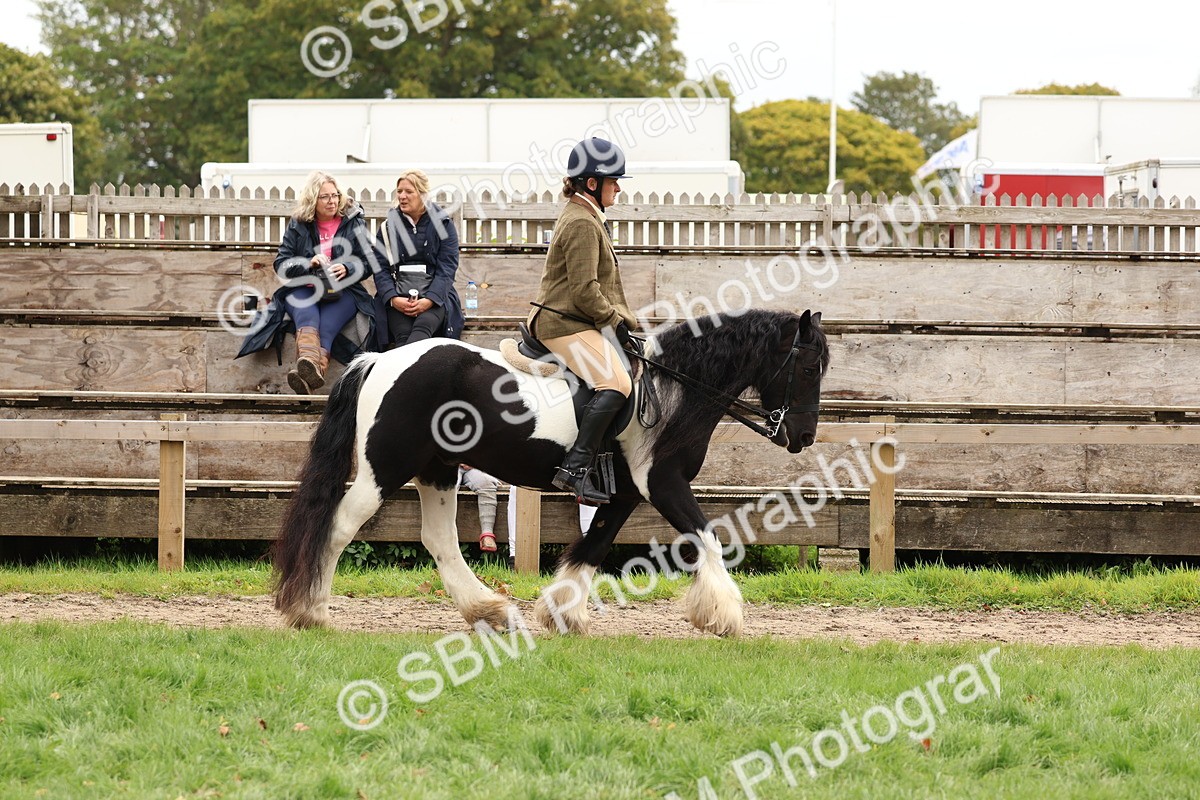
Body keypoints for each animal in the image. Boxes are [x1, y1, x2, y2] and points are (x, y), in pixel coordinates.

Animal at [273, 307, 829, 637]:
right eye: (807, 368)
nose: (802, 437)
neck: (675, 387)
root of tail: (378, 360)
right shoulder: (663, 483)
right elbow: (707, 536)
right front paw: (724, 614)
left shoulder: (624, 495)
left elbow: (592, 547)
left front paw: (562, 612)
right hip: (385, 469)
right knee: (339, 527)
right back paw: (311, 611)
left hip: (437, 468)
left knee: (440, 540)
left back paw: (488, 610)